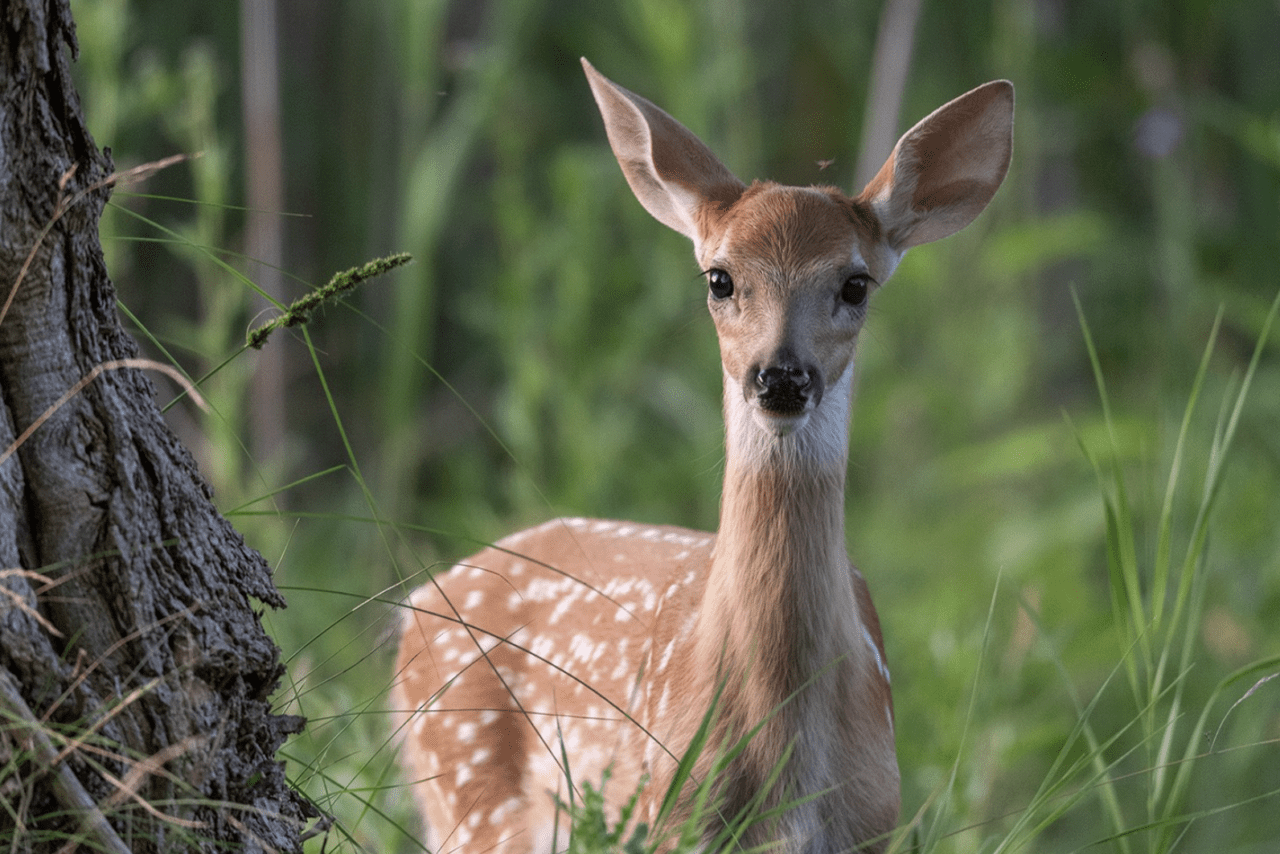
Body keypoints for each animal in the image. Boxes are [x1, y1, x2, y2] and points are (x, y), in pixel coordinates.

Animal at [392, 58, 1013, 854]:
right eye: (720, 278)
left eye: (856, 283)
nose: (780, 377)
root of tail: (419, 599)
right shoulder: (672, 817)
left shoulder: (875, 821)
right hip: (469, 792)